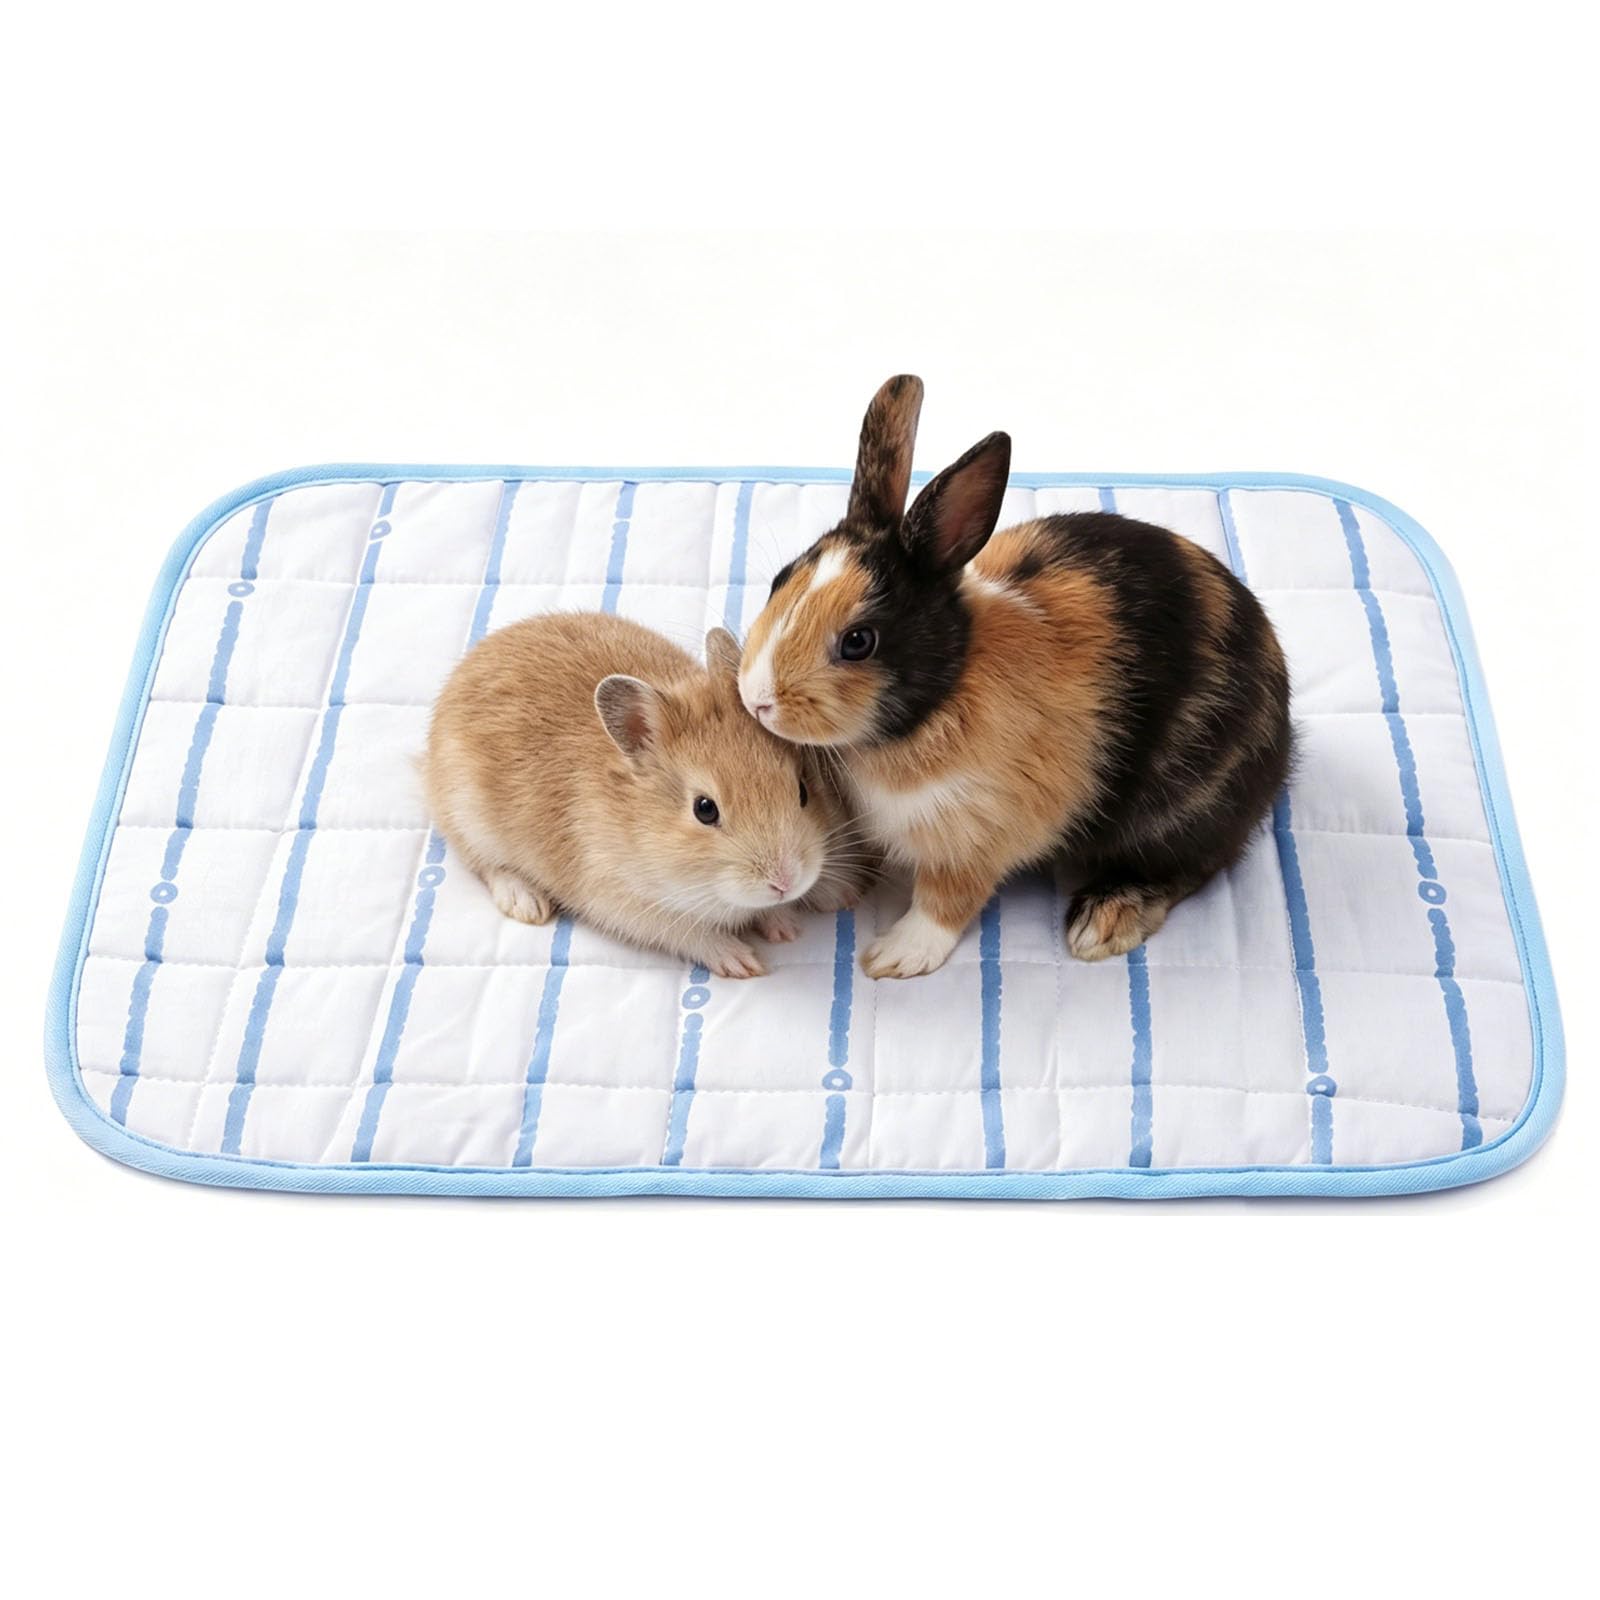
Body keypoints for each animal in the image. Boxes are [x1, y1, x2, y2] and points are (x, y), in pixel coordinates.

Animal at [425, 612, 869, 978]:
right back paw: (527, 904)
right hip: (469, 818)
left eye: (802, 790)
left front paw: (785, 926)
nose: (785, 881)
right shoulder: (631, 906)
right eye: (704, 809)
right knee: (484, 864)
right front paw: (744, 962)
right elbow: (695, 935)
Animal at [737, 375, 1291, 979]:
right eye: (781, 579)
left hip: (1184, 809)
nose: (757, 700)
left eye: (859, 642)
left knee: (1193, 865)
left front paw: (895, 956)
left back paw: (1101, 923)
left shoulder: (981, 837)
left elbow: (946, 900)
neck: (946, 692)